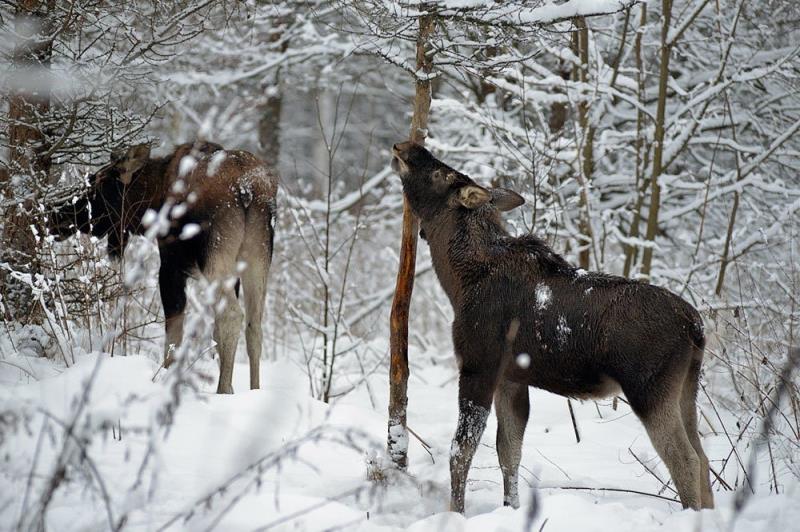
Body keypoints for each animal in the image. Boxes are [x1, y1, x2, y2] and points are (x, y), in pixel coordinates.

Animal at [49, 143, 278, 392]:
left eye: (99, 183)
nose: (56, 217)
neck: (153, 195)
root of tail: (248, 189)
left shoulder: (171, 266)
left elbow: (174, 335)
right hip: (258, 257)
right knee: (254, 325)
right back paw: (254, 389)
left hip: (215, 258)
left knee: (231, 316)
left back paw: (223, 390)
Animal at [392, 140, 712, 512]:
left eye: (440, 174)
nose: (405, 145)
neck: (458, 281)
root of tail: (696, 327)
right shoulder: (512, 379)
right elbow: (509, 452)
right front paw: (511, 508)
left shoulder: (478, 366)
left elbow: (461, 450)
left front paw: (455, 512)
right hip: (686, 388)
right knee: (703, 458)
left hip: (650, 389)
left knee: (685, 460)